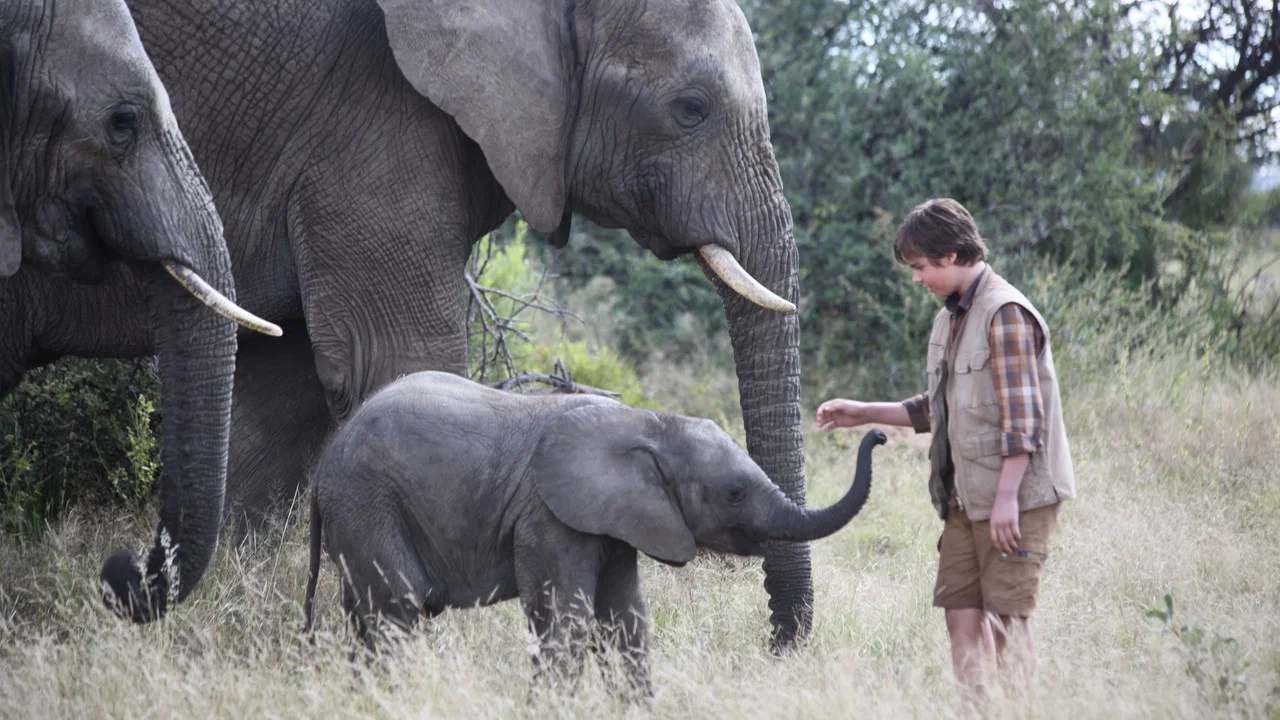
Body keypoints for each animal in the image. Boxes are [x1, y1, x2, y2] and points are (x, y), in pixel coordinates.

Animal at [302, 371, 888, 693]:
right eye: (736, 493)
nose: (878, 435)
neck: (651, 424)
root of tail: (324, 464)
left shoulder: (618, 519)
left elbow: (626, 620)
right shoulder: (549, 516)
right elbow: (566, 619)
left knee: (365, 618)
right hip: (368, 501)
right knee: (396, 611)